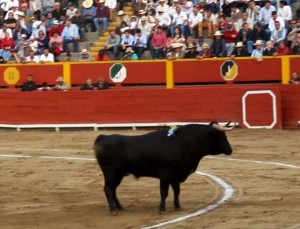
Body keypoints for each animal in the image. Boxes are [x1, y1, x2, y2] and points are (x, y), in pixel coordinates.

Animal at [94, 121, 234, 215]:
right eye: (220, 135)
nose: (230, 150)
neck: (184, 142)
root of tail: (103, 137)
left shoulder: (176, 175)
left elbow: (177, 191)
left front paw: (177, 206)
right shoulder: (165, 174)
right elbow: (164, 192)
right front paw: (162, 209)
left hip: (118, 174)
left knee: (113, 189)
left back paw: (120, 207)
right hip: (110, 172)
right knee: (108, 189)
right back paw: (113, 210)